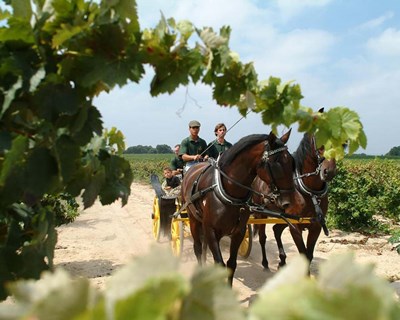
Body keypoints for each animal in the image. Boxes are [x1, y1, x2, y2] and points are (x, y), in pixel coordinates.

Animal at [181, 130, 300, 284]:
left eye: (291, 162)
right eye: (276, 164)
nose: (291, 202)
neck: (229, 191)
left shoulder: (239, 231)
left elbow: (231, 264)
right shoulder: (211, 230)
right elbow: (219, 263)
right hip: (193, 219)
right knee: (198, 248)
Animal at [253, 131, 338, 268]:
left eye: (342, 142)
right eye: (319, 138)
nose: (329, 171)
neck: (310, 192)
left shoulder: (316, 226)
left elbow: (309, 256)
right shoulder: (295, 226)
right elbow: (303, 255)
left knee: (276, 230)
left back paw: (282, 259)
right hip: (261, 213)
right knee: (262, 237)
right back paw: (265, 262)